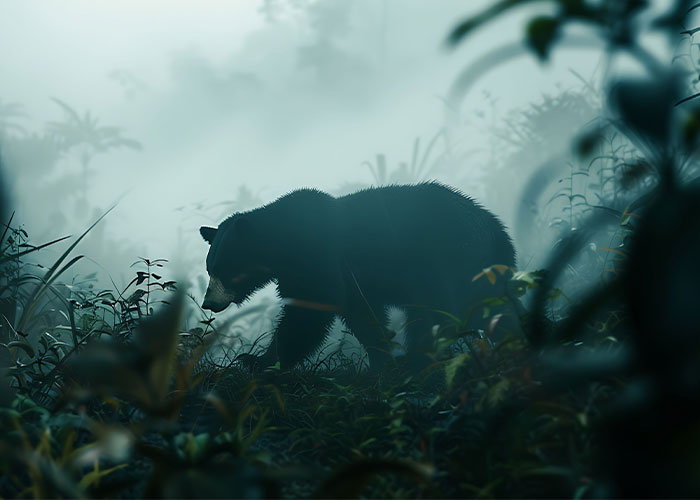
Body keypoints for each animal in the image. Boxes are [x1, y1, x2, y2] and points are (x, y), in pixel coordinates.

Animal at [200, 182, 517, 371]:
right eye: (209, 268)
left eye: (222, 269)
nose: (208, 303)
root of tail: (498, 230)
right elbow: (362, 314)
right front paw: (381, 358)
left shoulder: (319, 256)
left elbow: (310, 311)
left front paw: (259, 360)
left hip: (444, 257)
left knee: (440, 309)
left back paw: (419, 356)